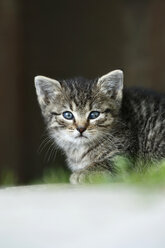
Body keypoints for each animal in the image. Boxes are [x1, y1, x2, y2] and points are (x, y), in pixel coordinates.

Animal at [34, 70, 165, 183]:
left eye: (94, 114)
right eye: (68, 115)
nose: (81, 128)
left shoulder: (124, 155)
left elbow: (108, 163)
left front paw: (83, 173)